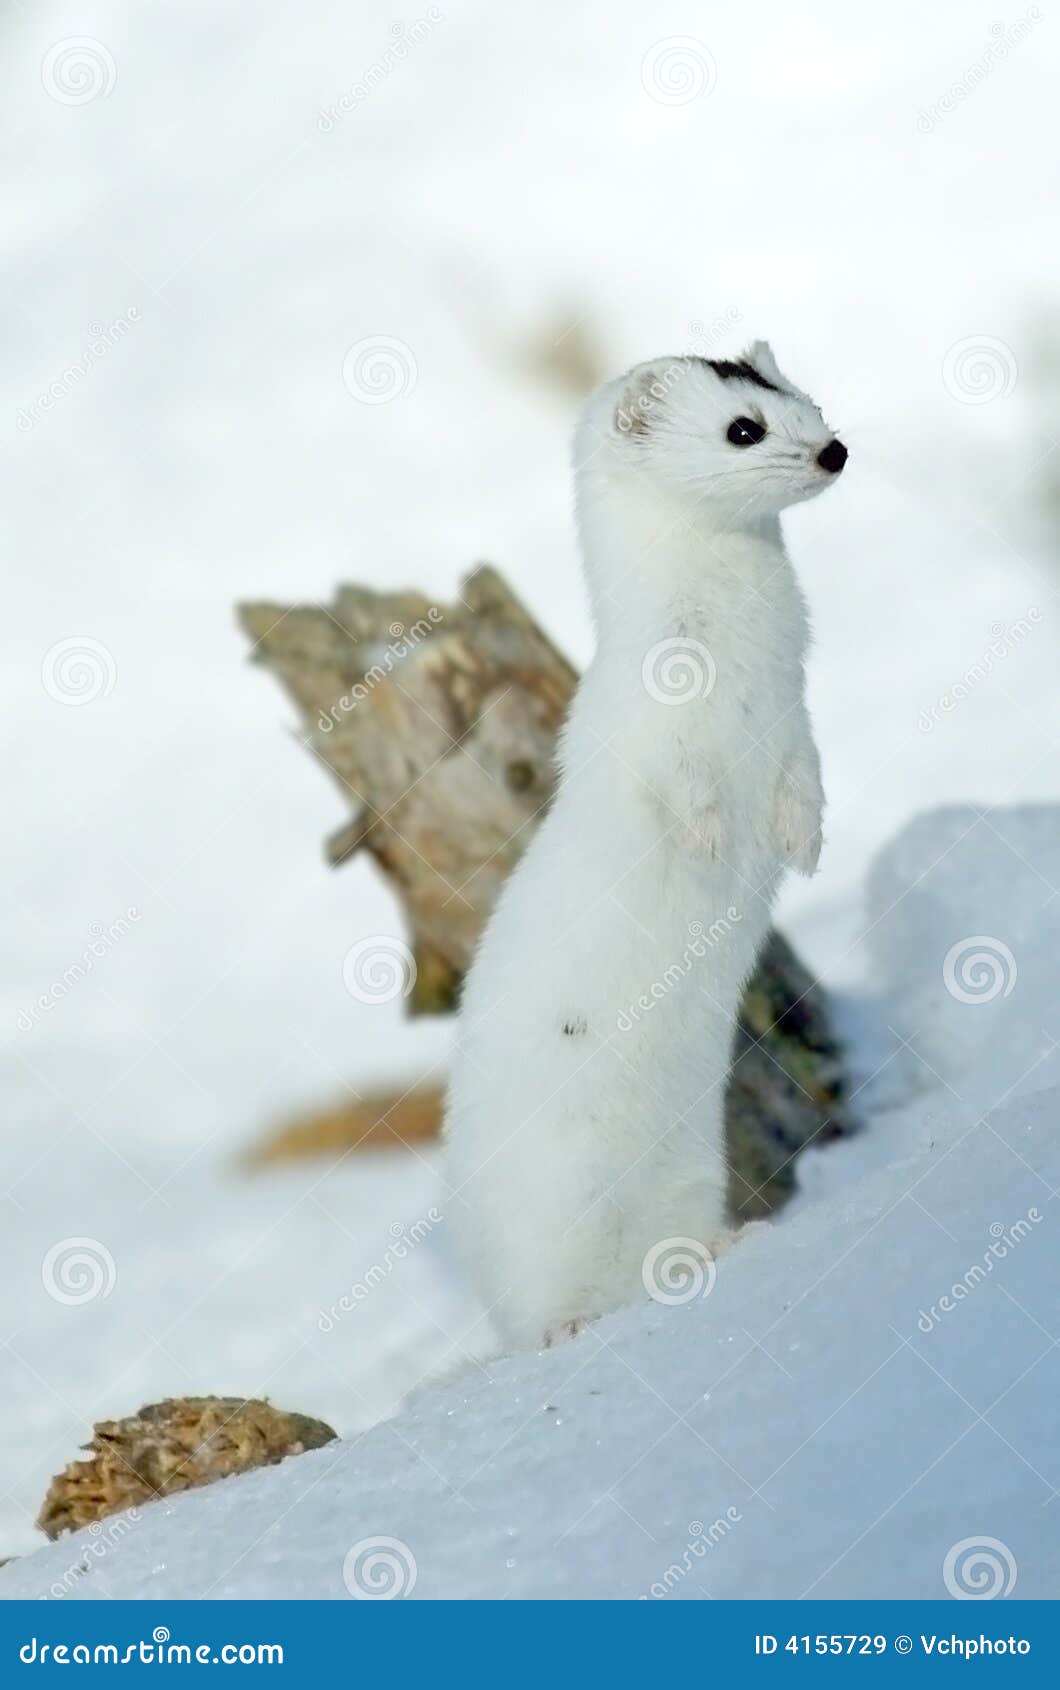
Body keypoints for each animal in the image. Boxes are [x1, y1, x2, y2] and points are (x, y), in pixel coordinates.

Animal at [442, 343, 848, 1345]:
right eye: (742, 427)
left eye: (808, 399)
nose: (835, 451)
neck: (742, 672)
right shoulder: (651, 734)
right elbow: (682, 788)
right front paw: (706, 839)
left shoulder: (796, 722)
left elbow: (806, 782)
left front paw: (803, 842)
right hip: (539, 1217)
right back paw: (566, 1329)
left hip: (691, 1177)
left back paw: (725, 1247)